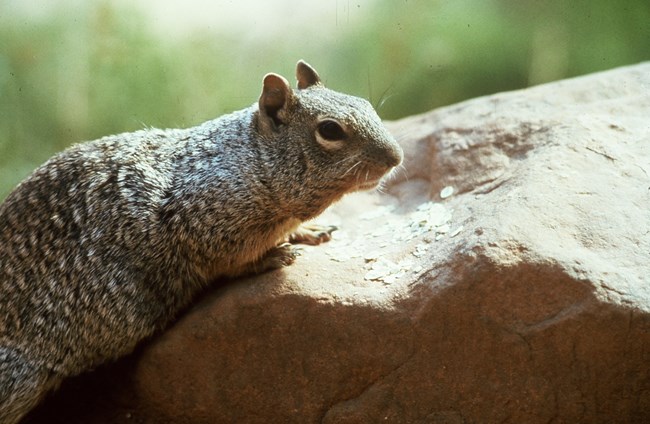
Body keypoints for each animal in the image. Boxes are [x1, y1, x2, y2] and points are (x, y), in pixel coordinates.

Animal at [0, 58, 402, 420]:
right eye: (330, 130)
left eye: (366, 105)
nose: (397, 156)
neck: (252, 162)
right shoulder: (202, 230)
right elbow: (227, 264)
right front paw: (272, 257)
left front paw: (310, 232)